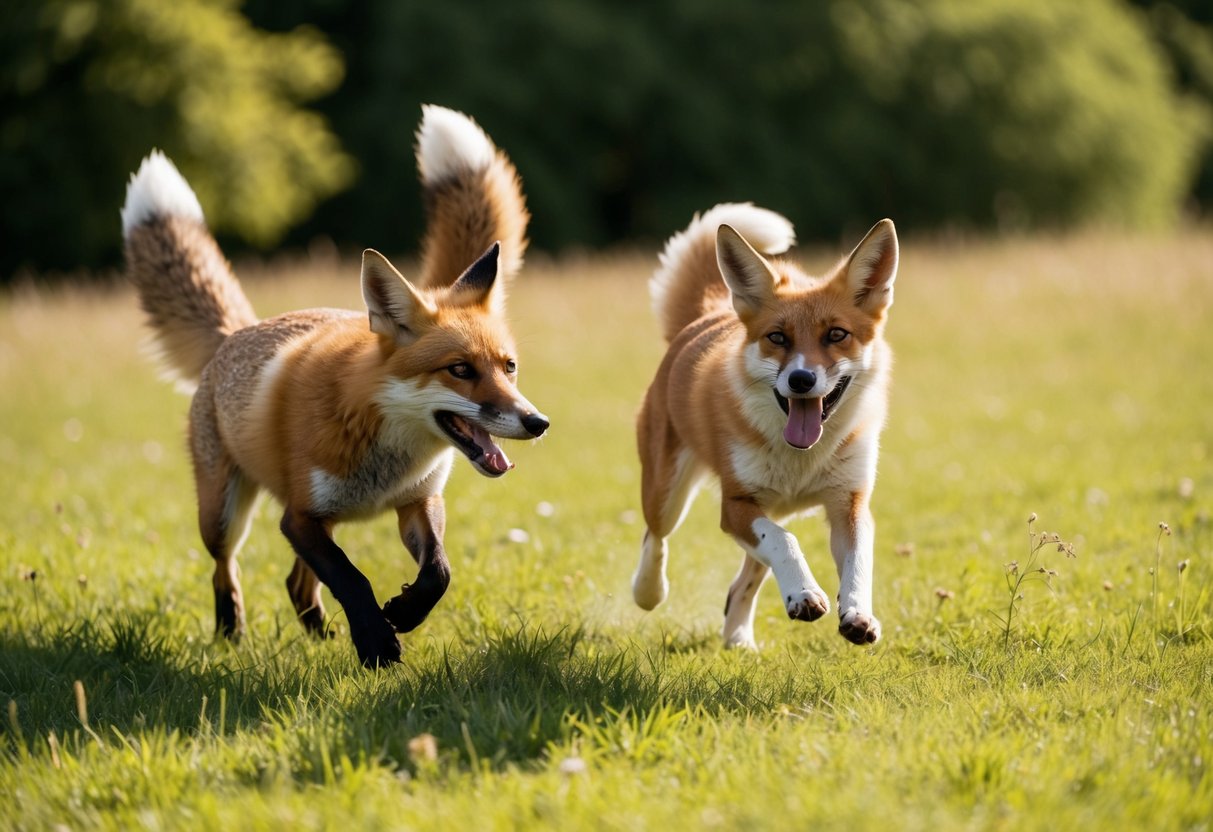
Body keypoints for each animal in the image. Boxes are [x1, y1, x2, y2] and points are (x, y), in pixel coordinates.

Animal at [121, 105, 548, 667]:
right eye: (460, 370)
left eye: (509, 366)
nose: (537, 422)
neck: (383, 442)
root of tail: (236, 332)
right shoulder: (299, 519)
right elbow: (352, 578)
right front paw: (376, 642)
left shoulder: (418, 501)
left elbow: (438, 572)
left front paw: (402, 614)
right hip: (223, 514)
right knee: (225, 569)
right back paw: (231, 632)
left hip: (322, 518)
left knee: (297, 584)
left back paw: (318, 634)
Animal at [632, 204, 898, 649]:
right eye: (778, 337)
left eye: (836, 334)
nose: (801, 380)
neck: (802, 460)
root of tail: (710, 314)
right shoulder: (736, 504)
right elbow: (785, 542)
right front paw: (806, 593)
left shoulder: (850, 503)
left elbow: (858, 563)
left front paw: (857, 614)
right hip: (668, 494)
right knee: (656, 537)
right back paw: (648, 592)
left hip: (767, 510)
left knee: (745, 581)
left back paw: (738, 638)